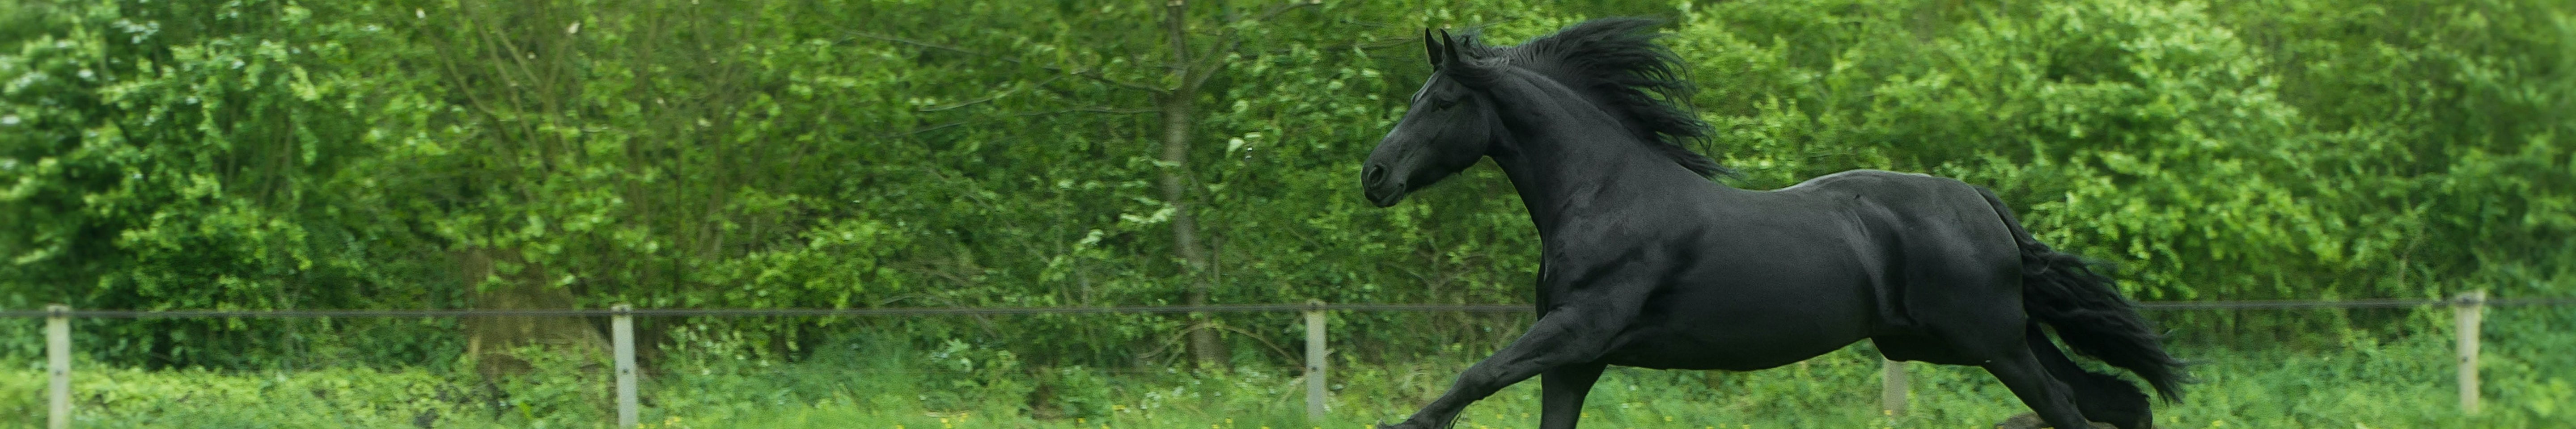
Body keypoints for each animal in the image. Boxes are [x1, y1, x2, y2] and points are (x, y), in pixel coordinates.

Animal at [1357, 18, 2187, 429]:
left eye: (1441, 101)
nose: (1375, 176)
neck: (1605, 195)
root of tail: (1982, 202)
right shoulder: (1575, 360)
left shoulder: (1579, 328)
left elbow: (1474, 376)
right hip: (1962, 341)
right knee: (2118, 402)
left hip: (1989, 341)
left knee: (2072, 410)